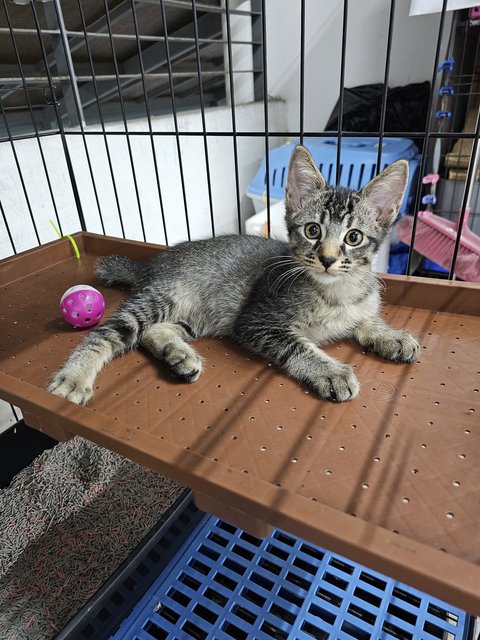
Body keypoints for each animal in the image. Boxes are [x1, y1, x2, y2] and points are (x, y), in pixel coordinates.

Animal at [47, 147, 416, 402]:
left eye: (353, 237)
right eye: (313, 230)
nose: (326, 259)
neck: (337, 291)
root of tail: (152, 263)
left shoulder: (358, 304)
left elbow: (365, 319)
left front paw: (391, 336)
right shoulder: (255, 321)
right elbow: (299, 346)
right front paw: (330, 372)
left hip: (198, 317)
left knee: (152, 332)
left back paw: (178, 355)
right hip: (165, 297)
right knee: (108, 332)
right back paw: (74, 378)